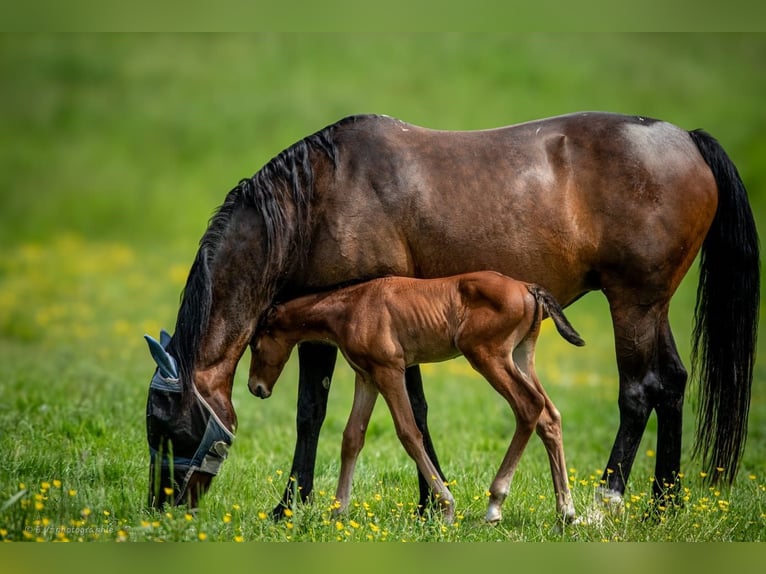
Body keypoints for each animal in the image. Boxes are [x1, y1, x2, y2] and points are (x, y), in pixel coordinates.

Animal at [249, 272, 584, 524]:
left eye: (255, 343)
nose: (256, 388)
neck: (352, 306)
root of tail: (528, 288)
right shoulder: (366, 377)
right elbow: (352, 437)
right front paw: (338, 512)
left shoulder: (390, 371)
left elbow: (409, 433)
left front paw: (446, 507)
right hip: (521, 356)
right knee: (549, 415)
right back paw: (565, 512)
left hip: (488, 356)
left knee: (529, 406)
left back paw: (495, 505)